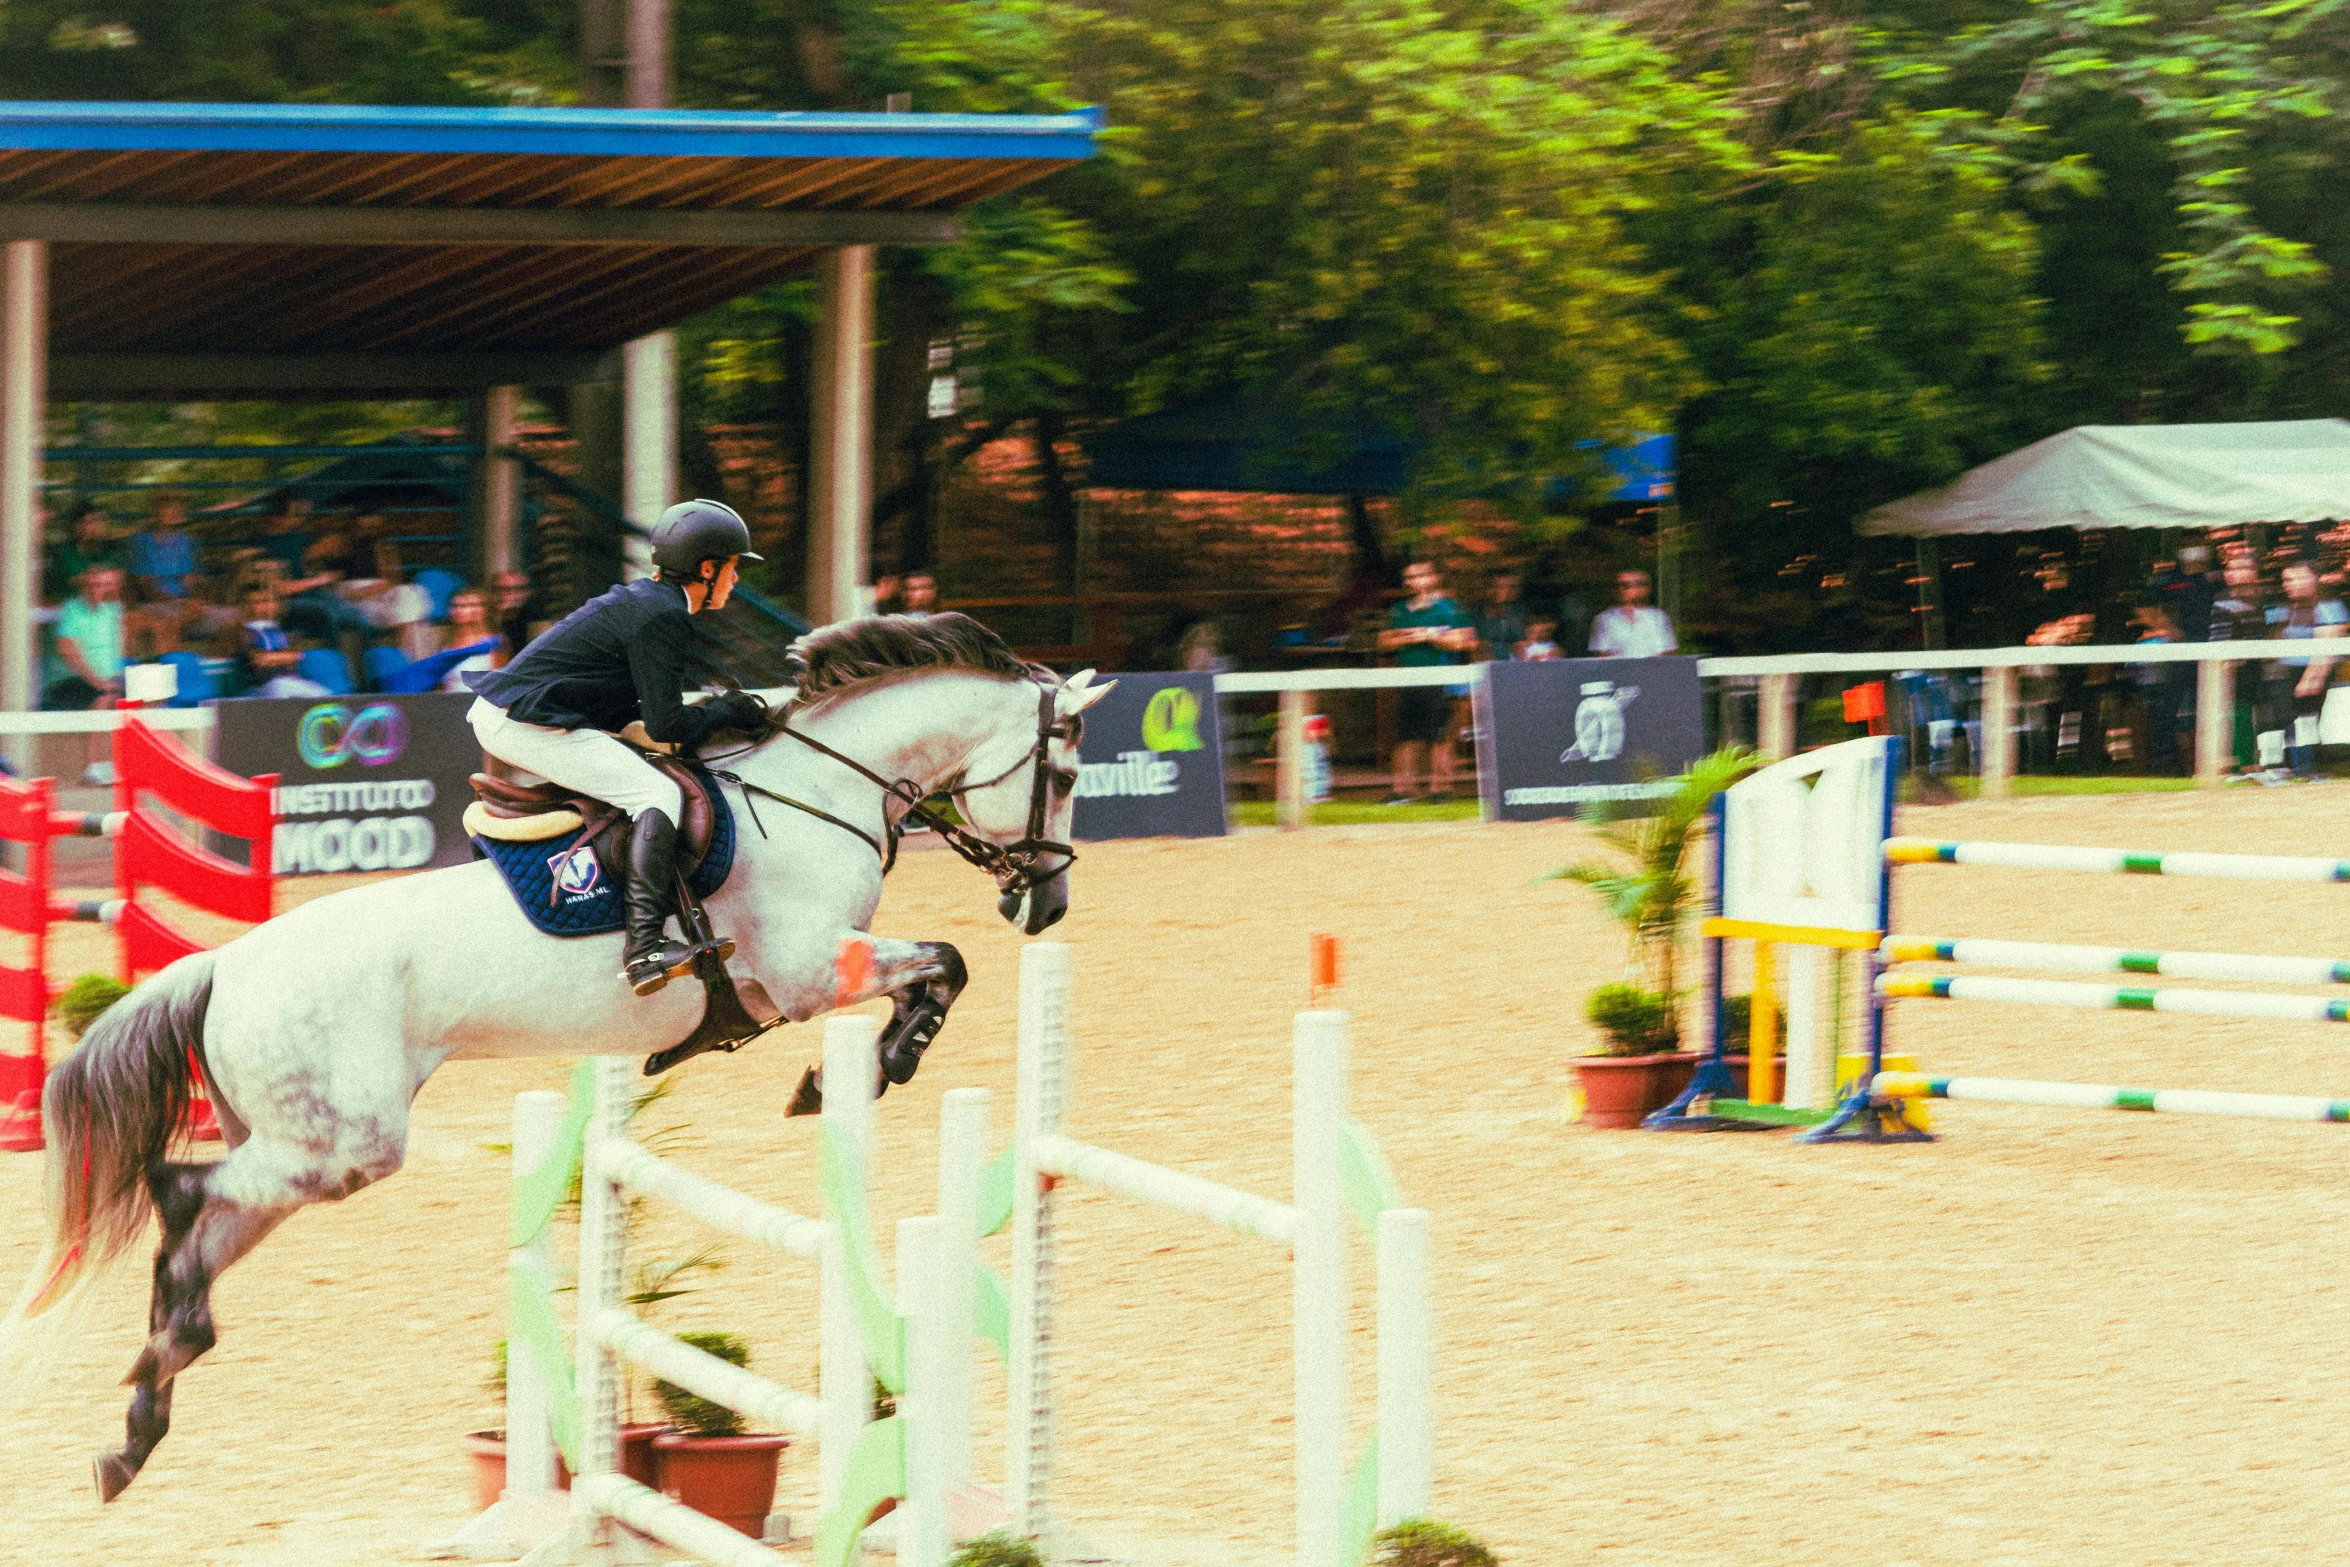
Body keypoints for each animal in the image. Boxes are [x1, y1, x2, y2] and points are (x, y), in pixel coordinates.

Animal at [2, 606, 1118, 1503]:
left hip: (305, 1140)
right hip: (342, 1138)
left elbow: (941, 967)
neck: (814, 792)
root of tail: (224, 965)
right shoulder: (808, 972)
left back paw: (136, 1430)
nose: (1049, 902)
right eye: (1064, 774)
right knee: (182, 1192)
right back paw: (156, 1379)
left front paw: (861, 1063)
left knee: (200, 1228)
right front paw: (861, 1068)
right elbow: (944, 966)